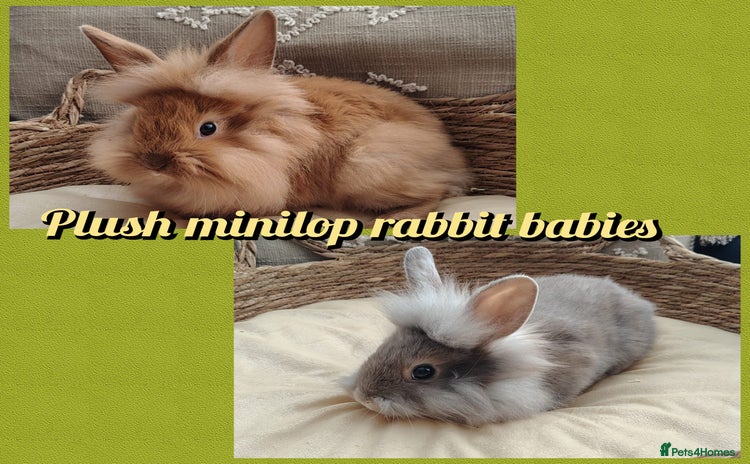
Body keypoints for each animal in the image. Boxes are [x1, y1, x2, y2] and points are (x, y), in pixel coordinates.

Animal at [80, 10, 470, 219]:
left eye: (208, 128)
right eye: (139, 120)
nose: (154, 161)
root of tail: (453, 157)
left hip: (367, 165)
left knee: (436, 194)